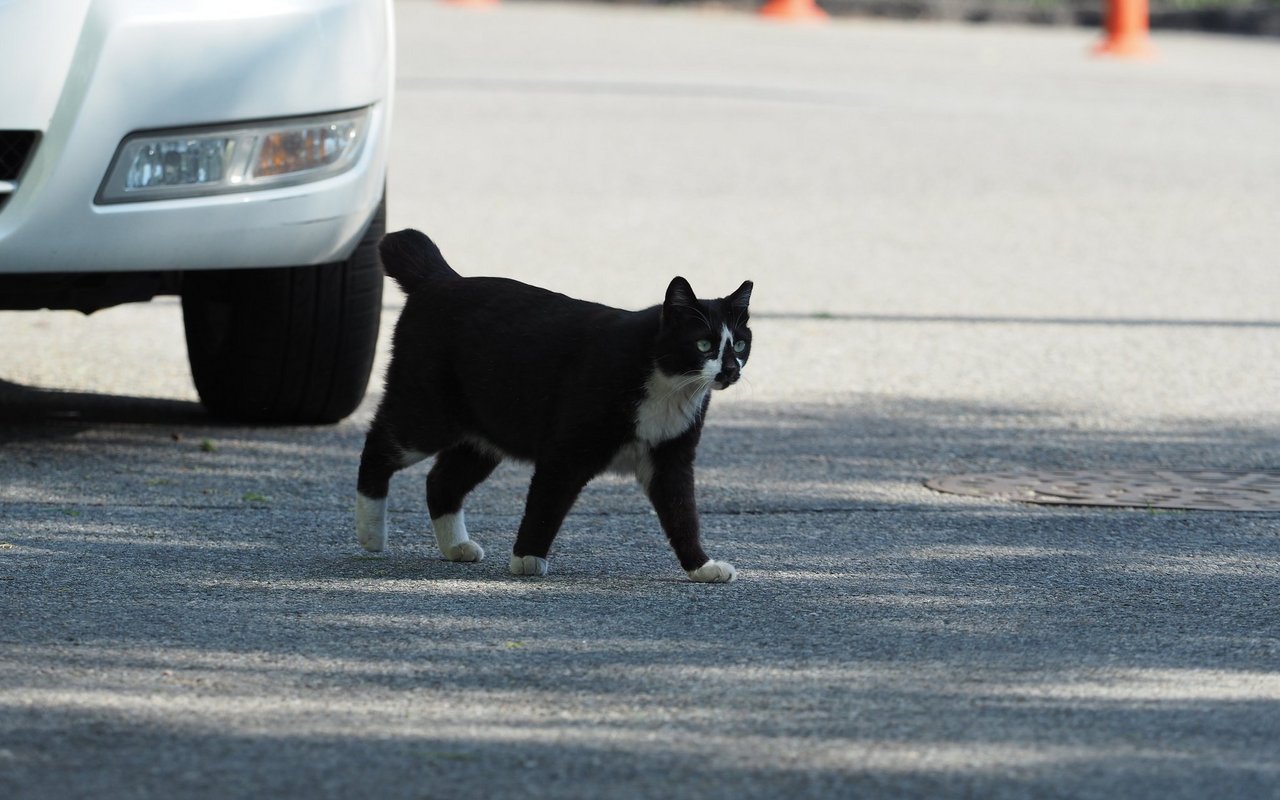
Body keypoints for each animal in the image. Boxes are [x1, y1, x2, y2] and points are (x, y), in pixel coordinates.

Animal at [355, 227, 747, 583]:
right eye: (703, 345)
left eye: (741, 344)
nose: (730, 369)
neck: (666, 384)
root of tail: (439, 278)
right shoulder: (566, 452)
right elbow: (546, 503)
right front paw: (527, 558)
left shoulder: (671, 459)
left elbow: (683, 514)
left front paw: (701, 566)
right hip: (426, 414)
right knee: (377, 447)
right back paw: (371, 534)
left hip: (485, 433)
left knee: (440, 481)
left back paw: (455, 546)